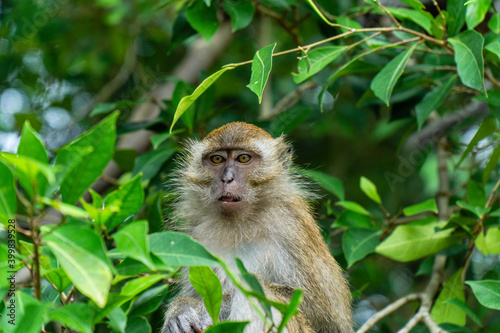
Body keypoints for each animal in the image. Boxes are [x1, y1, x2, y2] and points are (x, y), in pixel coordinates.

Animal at [162, 122, 354, 332]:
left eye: (243, 158)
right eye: (217, 159)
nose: (227, 179)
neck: (239, 224)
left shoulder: (291, 227)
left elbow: (325, 318)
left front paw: (213, 307)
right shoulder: (195, 236)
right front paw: (180, 309)